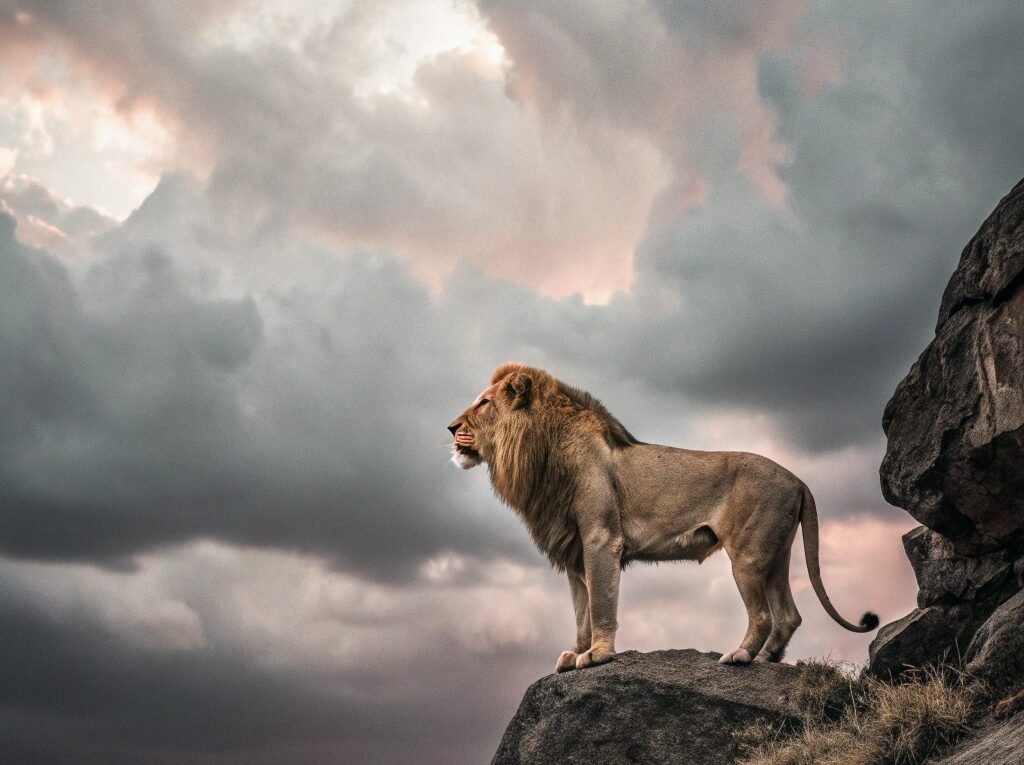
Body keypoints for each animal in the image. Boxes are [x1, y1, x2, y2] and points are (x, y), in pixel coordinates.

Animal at [448, 364, 880, 671]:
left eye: (484, 403)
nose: (451, 427)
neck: (542, 452)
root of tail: (798, 479)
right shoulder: (572, 551)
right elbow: (581, 610)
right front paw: (575, 653)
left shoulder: (601, 537)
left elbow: (601, 602)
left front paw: (598, 654)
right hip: (777, 553)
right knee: (789, 615)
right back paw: (766, 659)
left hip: (748, 555)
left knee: (762, 615)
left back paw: (740, 656)